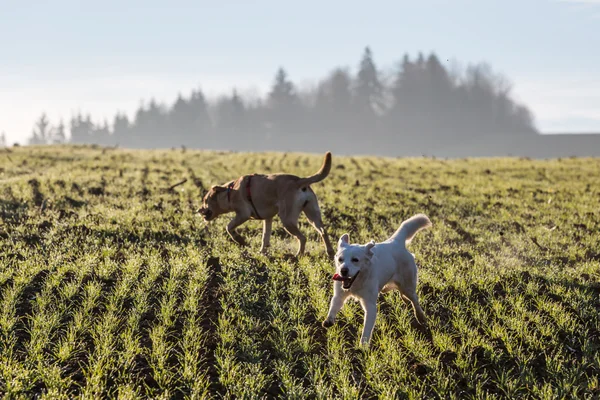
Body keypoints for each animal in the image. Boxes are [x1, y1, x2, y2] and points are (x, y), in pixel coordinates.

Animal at [198, 152, 336, 258]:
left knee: (302, 238)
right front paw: (262, 252)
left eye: (205, 200)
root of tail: (299, 181)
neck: (229, 191)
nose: (198, 210)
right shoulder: (267, 218)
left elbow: (229, 227)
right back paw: (330, 252)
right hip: (313, 215)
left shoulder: (243, 214)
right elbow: (265, 236)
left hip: (287, 219)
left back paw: (298, 256)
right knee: (323, 231)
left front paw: (240, 240)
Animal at [324, 214, 432, 346]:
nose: (343, 271)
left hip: (408, 285)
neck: (358, 283)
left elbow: (367, 328)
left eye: (355, 260)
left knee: (415, 301)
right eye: (340, 259)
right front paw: (329, 320)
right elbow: (333, 306)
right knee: (404, 295)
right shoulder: (339, 295)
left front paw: (363, 346)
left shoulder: (370, 305)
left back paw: (420, 317)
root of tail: (395, 241)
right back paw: (406, 301)